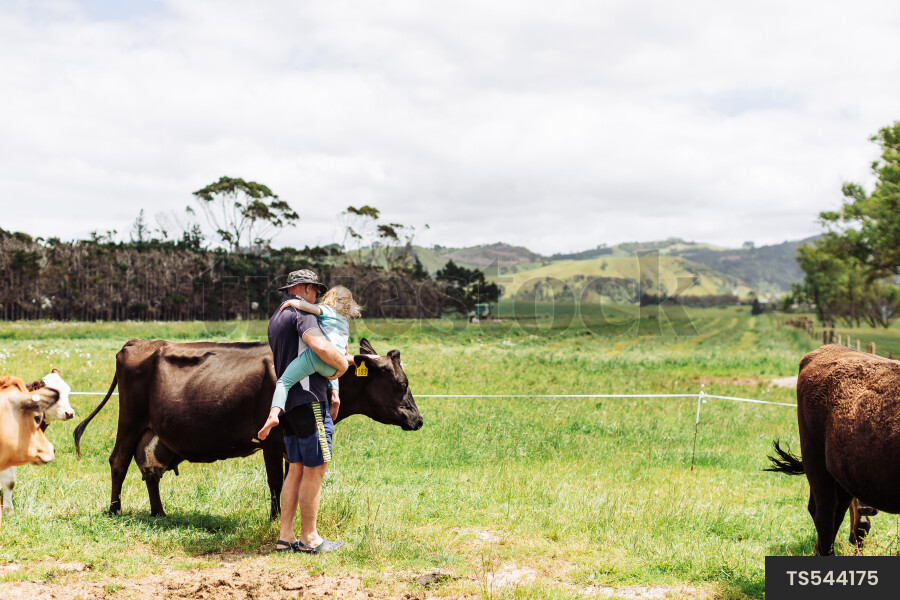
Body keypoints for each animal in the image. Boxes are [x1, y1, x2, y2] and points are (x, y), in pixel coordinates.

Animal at [73, 337, 423, 519]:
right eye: (401, 384)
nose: (418, 420)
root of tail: (140, 342)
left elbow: (290, 479)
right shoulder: (270, 439)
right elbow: (275, 482)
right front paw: (275, 519)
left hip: (153, 432)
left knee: (150, 472)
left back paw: (159, 513)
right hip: (130, 419)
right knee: (118, 462)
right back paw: (115, 511)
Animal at [766, 344, 900, 555]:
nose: (867, 508)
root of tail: (827, 348)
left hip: (844, 475)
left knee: (837, 513)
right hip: (816, 461)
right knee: (824, 515)